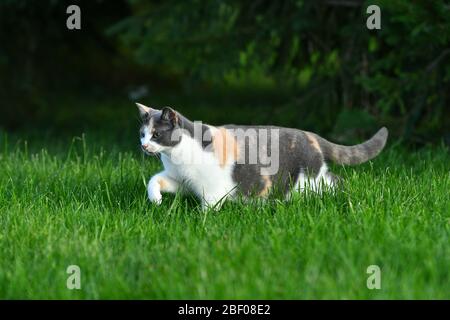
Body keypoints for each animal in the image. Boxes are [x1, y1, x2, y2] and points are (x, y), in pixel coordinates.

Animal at [136, 102, 386, 211]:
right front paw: (156, 200)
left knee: (336, 180)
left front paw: (200, 223)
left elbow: (208, 208)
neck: (176, 158)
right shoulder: (180, 181)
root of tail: (311, 135)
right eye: (142, 133)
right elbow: (154, 180)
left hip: (310, 181)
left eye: (157, 134)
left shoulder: (212, 189)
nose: (144, 145)